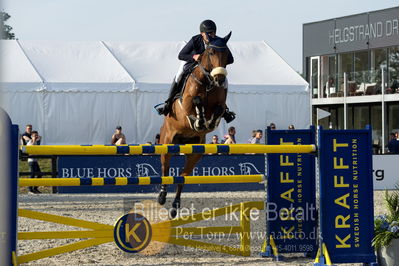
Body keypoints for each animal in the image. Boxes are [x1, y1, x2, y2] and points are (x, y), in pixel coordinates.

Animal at [156, 32, 233, 218]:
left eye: (227, 54)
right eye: (211, 52)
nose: (220, 79)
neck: (208, 82)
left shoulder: (220, 105)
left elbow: (218, 110)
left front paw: (208, 122)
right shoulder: (187, 104)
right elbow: (196, 101)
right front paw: (199, 120)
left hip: (196, 151)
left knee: (182, 177)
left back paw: (175, 207)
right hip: (167, 142)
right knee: (165, 169)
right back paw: (161, 197)